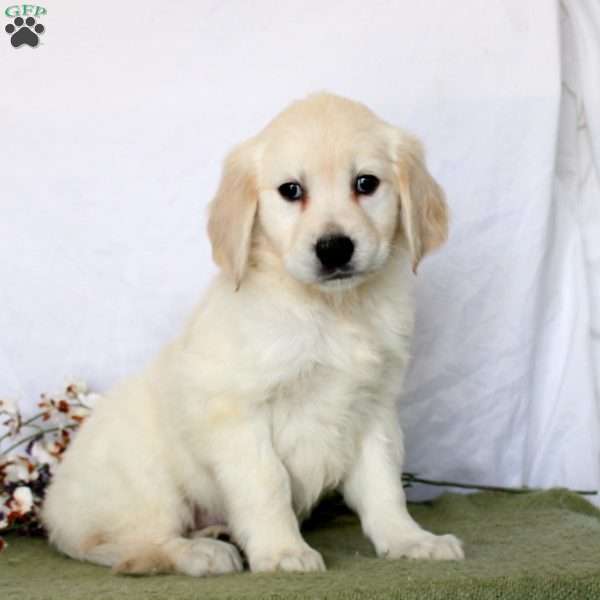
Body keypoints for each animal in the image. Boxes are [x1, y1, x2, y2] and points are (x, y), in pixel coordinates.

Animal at [43, 92, 464, 576]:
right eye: (291, 190)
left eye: (366, 183)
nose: (334, 248)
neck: (332, 312)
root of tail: (52, 511)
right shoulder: (236, 411)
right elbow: (268, 483)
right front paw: (282, 551)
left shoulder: (374, 409)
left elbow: (384, 487)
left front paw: (410, 540)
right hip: (147, 478)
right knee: (124, 544)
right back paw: (201, 551)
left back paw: (216, 533)